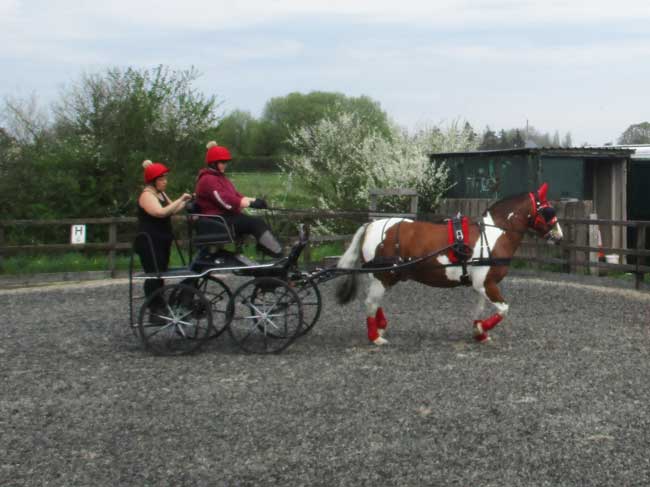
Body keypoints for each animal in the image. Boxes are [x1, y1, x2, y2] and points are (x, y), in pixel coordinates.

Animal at [336, 184, 560, 346]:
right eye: (548, 210)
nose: (559, 236)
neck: (494, 234)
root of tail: (370, 225)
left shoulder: (483, 284)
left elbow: (479, 310)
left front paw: (479, 332)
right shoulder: (486, 284)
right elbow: (504, 309)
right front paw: (482, 329)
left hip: (384, 276)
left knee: (375, 301)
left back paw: (380, 325)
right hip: (382, 276)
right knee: (370, 302)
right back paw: (375, 337)